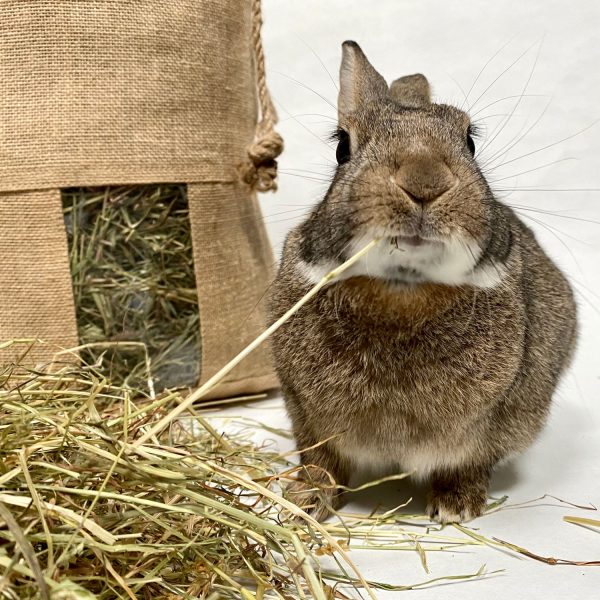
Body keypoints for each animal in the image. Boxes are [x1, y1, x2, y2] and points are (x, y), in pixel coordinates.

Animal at [268, 39, 576, 524]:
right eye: (343, 147)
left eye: (470, 141)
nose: (425, 183)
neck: (402, 291)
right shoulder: (308, 416)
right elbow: (321, 461)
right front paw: (305, 502)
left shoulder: (490, 426)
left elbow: (469, 462)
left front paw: (455, 506)